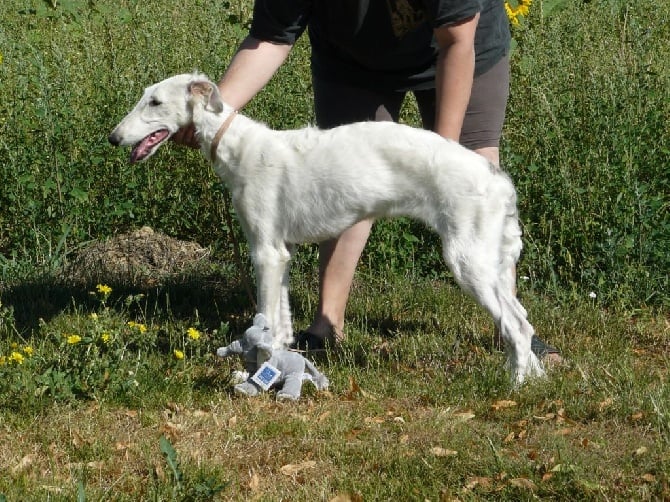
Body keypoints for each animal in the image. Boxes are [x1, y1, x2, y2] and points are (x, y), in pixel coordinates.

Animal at [110, 72, 544, 382]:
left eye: (154, 101)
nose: (113, 137)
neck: (241, 147)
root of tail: (497, 178)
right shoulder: (281, 254)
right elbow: (279, 325)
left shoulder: (266, 252)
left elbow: (265, 323)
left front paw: (258, 374)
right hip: (491, 263)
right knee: (522, 321)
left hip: (468, 262)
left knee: (517, 327)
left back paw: (515, 386)